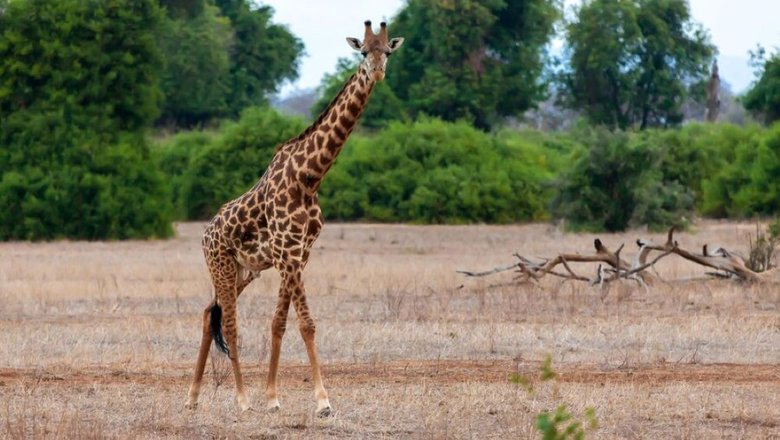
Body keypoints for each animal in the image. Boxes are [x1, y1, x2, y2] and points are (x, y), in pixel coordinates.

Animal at [183, 18, 402, 416]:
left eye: (388, 52)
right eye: (363, 51)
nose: (377, 71)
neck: (310, 176)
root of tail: (205, 235)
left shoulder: (299, 253)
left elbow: (279, 323)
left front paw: (273, 397)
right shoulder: (287, 251)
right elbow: (307, 324)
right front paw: (323, 401)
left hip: (244, 270)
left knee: (209, 312)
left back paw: (193, 397)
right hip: (220, 265)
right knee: (230, 324)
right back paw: (241, 399)